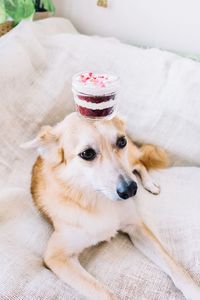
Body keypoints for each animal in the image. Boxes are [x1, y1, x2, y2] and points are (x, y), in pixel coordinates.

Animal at [21, 113, 200, 300]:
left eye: (121, 142)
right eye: (87, 154)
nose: (130, 190)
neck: (99, 199)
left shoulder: (137, 227)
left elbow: (176, 268)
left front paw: (194, 291)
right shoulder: (56, 257)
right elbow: (105, 293)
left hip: (130, 160)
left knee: (139, 164)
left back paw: (150, 184)